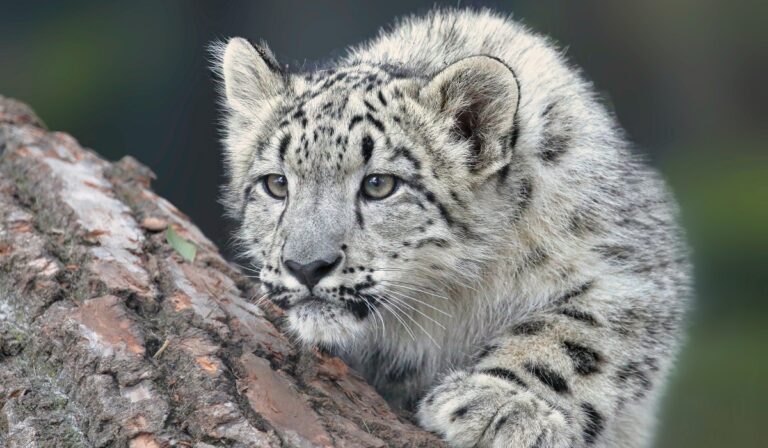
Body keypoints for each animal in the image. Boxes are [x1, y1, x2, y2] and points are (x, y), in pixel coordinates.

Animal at [212, 7, 688, 448]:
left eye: (379, 184)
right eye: (276, 184)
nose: (306, 266)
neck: (450, 299)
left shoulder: (630, 267)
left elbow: (577, 333)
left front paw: (502, 406)